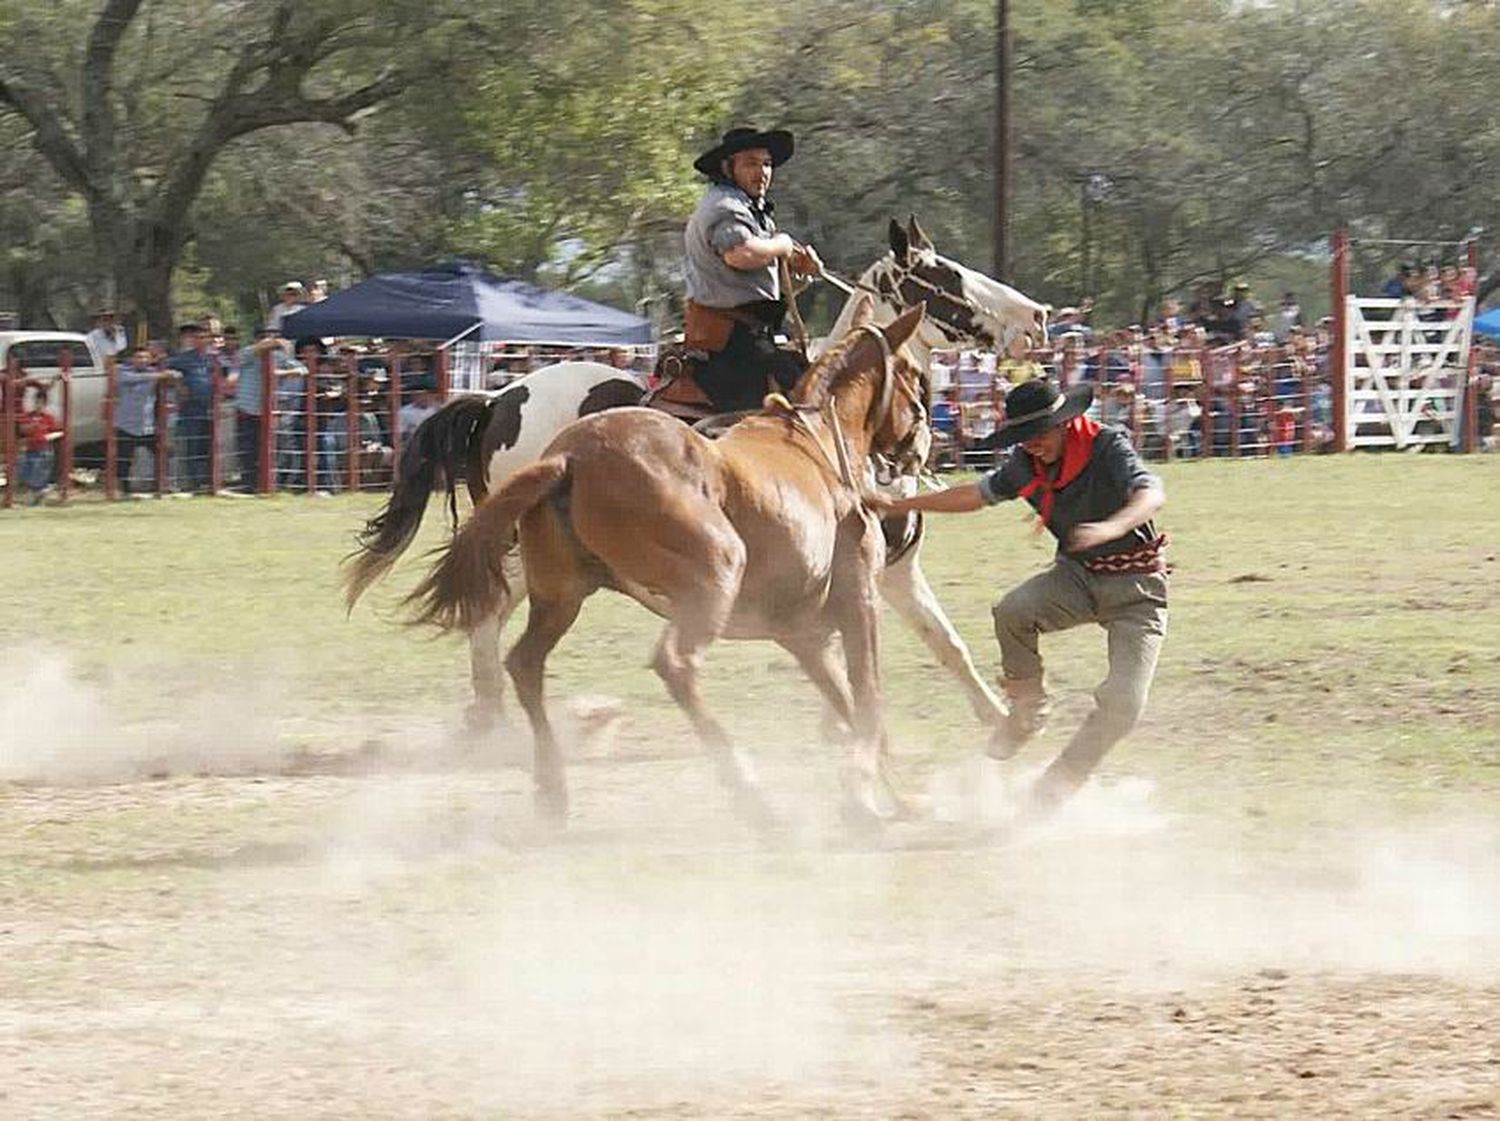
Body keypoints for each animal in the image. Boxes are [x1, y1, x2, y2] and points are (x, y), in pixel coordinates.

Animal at [345, 217, 1050, 729]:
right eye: (947, 275)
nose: (1039, 316)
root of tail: (497, 398)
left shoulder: (895, 569)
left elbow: (946, 644)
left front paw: (1001, 722)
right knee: (488, 608)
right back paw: (493, 717)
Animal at [405, 303, 930, 828]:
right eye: (913, 374)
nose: (920, 442)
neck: (815, 442)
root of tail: (568, 457)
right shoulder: (858, 602)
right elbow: (868, 697)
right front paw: (871, 794)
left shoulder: (802, 633)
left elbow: (846, 700)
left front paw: (897, 794)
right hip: (714, 574)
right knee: (674, 664)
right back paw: (750, 791)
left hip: (561, 594)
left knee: (522, 660)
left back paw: (550, 785)